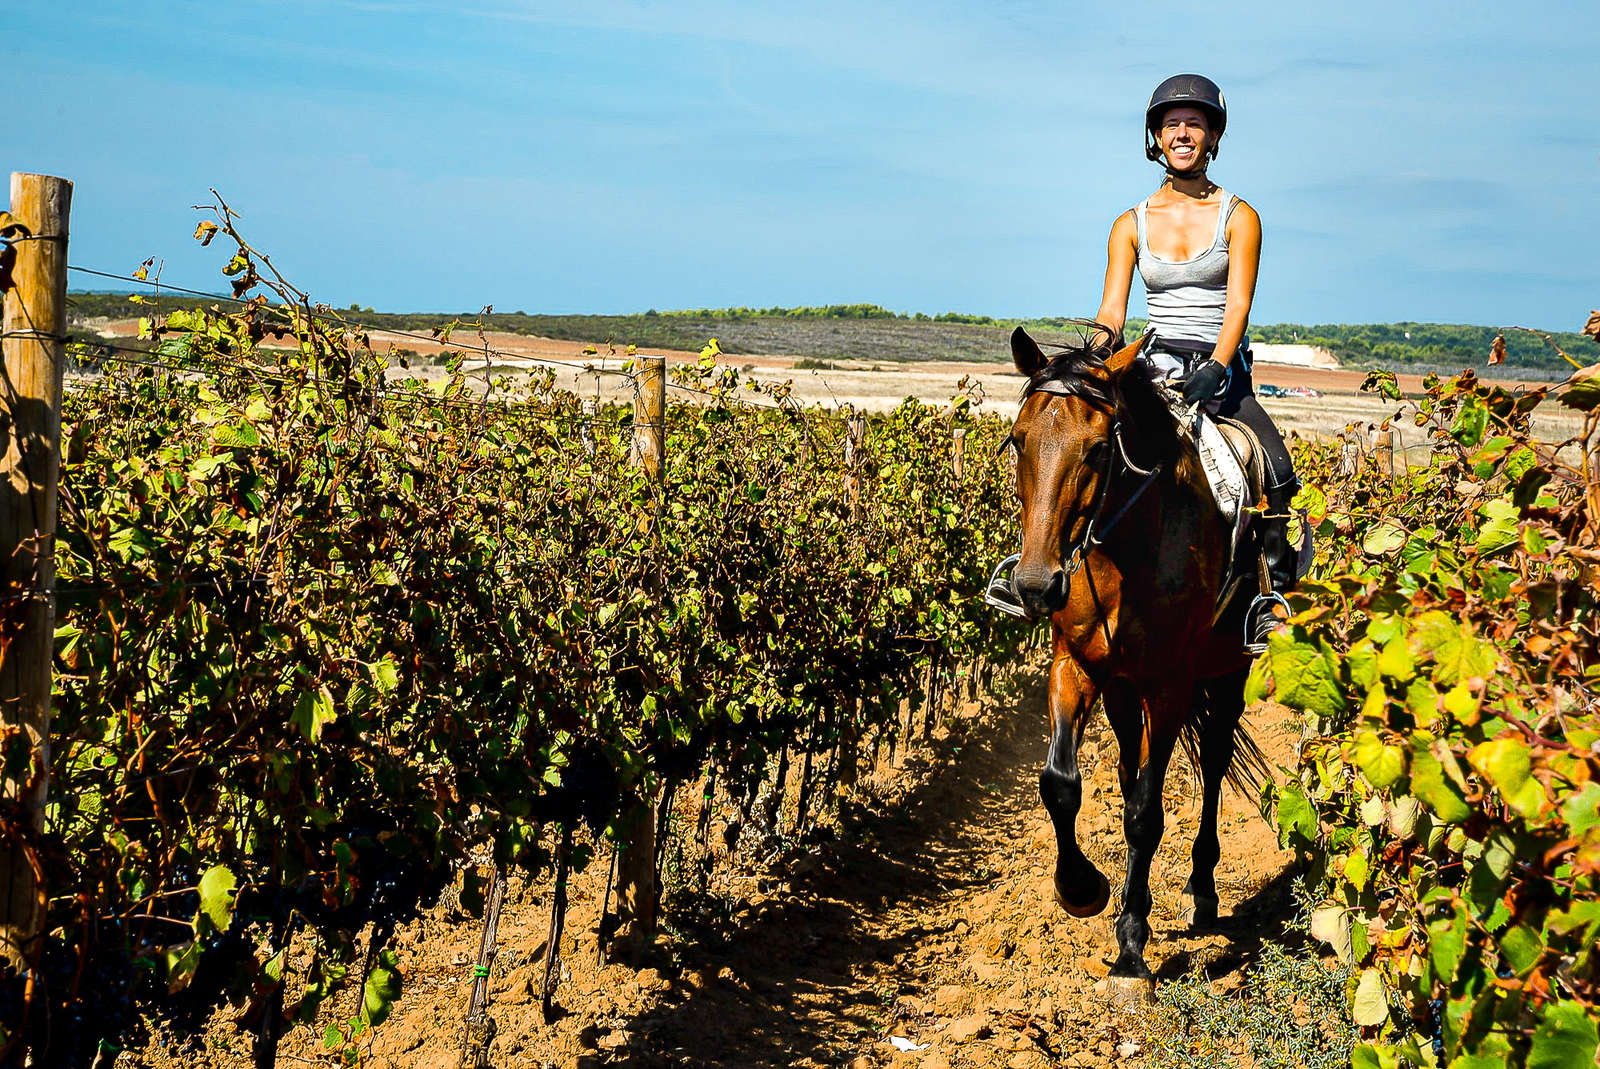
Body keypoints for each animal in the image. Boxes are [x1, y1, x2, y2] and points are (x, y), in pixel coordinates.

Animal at [1011, 323, 1260, 985]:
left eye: (1099, 451)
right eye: (1018, 441)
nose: (1036, 586)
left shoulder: (1170, 687)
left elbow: (1148, 811)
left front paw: (1130, 945)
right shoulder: (1076, 666)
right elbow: (1061, 783)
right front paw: (1081, 889)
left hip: (1230, 670)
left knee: (1213, 763)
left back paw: (1202, 888)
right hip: (1124, 691)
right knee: (1128, 770)